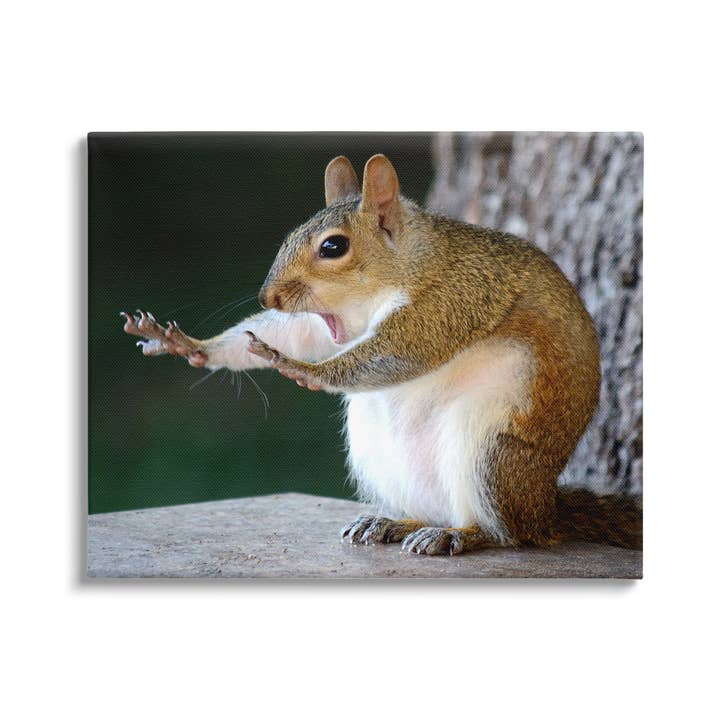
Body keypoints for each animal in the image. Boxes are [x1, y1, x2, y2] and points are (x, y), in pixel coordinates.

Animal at [121, 153, 641, 555]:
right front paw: (189, 345)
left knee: (508, 534)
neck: (410, 263)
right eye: (290, 235)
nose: (269, 297)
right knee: (430, 511)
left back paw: (460, 536)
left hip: (491, 454)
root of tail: (544, 511)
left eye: (334, 246)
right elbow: (297, 333)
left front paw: (301, 368)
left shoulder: (454, 299)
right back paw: (394, 522)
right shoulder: (327, 323)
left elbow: (398, 353)